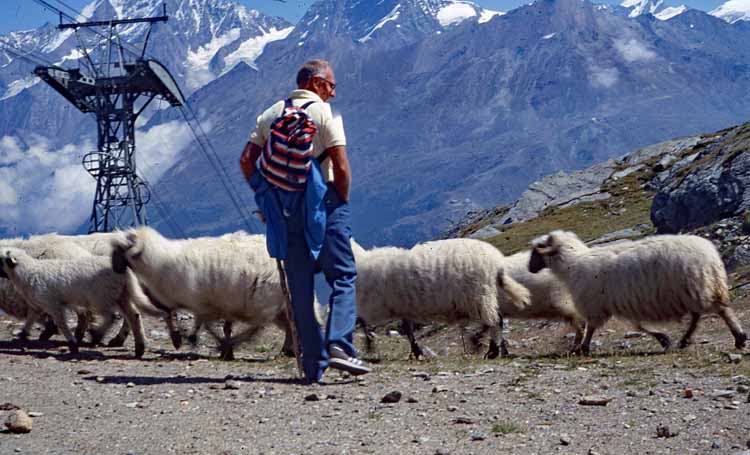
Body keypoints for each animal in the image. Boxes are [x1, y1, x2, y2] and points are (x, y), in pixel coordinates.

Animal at [0, 248, 148, 358]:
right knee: (134, 316)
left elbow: (62, 324)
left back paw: (97, 336)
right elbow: (30, 320)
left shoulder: (53, 304)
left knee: (112, 317)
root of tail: (127, 272)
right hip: (121, 295)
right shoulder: (37, 305)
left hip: (101, 297)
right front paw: (22, 335)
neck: (28, 272)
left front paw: (73, 345)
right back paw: (139, 348)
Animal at [111, 228, 296, 360]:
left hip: (263, 301)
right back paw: (286, 350)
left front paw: (202, 341)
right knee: (287, 325)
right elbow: (175, 316)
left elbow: (206, 324)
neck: (160, 260)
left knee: (258, 327)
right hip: (276, 306)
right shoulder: (203, 304)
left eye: (122, 249)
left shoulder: (204, 304)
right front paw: (180, 339)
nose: (115, 268)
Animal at [354, 239, 536, 360]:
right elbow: (408, 330)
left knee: (493, 321)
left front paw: (369, 345)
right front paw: (416, 352)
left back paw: (488, 348)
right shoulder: (401, 307)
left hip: (478, 294)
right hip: (484, 295)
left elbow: (362, 322)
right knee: (496, 320)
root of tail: (497, 264)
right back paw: (499, 350)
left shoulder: (375, 306)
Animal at [532, 232, 748, 356]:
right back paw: (685, 340)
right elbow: (638, 325)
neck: (572, 264)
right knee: (698, 316)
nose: (530, 268)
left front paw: (583, 348)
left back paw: (739, 337)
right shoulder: (623, 302)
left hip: (698, 287)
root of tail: (710, 254)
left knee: (721, 311)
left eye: (536, 251)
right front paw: (663, 339)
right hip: (693, 291)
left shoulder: (596, 305)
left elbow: (592, 327)